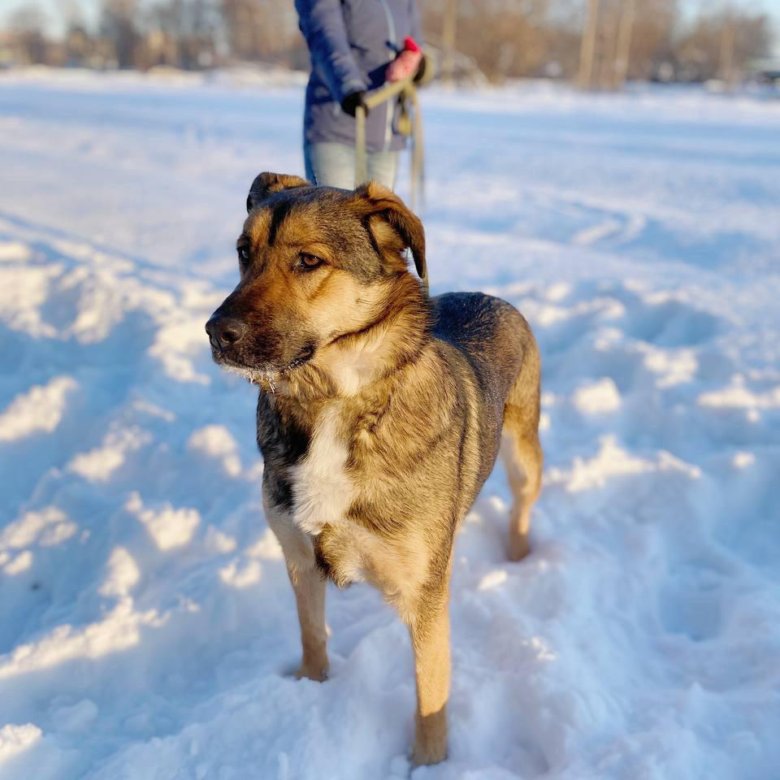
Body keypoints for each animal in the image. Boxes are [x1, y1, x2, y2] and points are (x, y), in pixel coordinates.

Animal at [207, 172, 544, 768]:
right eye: (244, 252)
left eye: (308, 260)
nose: (214, 332)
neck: (334, 401)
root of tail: (493, 297)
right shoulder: (298, 559)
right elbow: (313, 639)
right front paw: (311, 695)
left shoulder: (425, 596)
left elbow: (430, 697)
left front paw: (428, 766)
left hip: (525, 453)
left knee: (524, 503)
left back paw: (520, 558)